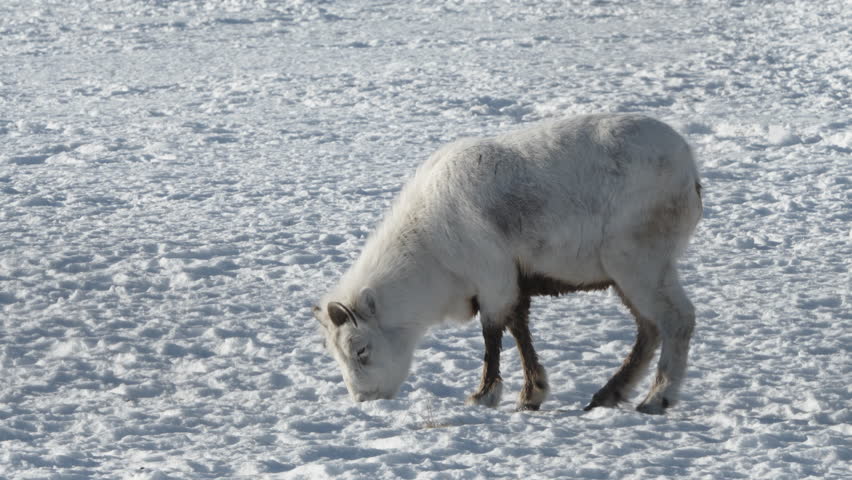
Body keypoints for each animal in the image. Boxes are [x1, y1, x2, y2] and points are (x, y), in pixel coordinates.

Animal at [314, 113, 702, 414]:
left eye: (361, 349)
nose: (364, 399)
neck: (428, 250)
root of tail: (689, 167)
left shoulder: (494, 280)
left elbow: (493, 335)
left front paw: (485, 396)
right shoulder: (513, 283)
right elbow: (519, 330)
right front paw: (531, 394)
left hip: (639, 262)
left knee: (677, 319)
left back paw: (657, 398)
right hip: (627, 276)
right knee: (649, 328)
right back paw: (609, 394)